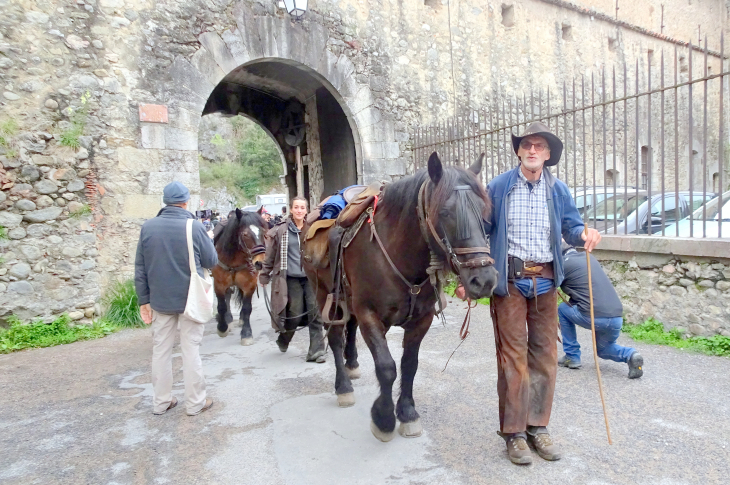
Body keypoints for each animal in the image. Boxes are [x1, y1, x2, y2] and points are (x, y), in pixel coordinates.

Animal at [210, 208, 268, 344]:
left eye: (263, 232)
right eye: (245, 234)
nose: (260, 263)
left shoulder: (250, 284)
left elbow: (247, 308)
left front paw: (246, 333)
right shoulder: (219, 284)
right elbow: (221, 306)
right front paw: (222, 327)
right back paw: (228, 319)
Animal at [304, 153, 498, 440]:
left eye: (484, 212)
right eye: (445, 212)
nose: (484, 280)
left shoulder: (421, 320)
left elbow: (409, 364)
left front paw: (407, 413)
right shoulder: (370, 315)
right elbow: (386, 367)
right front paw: (383, 418)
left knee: (349, 330)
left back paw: (352, 364)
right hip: (324, 295)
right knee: (337, 337)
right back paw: (344, 387)